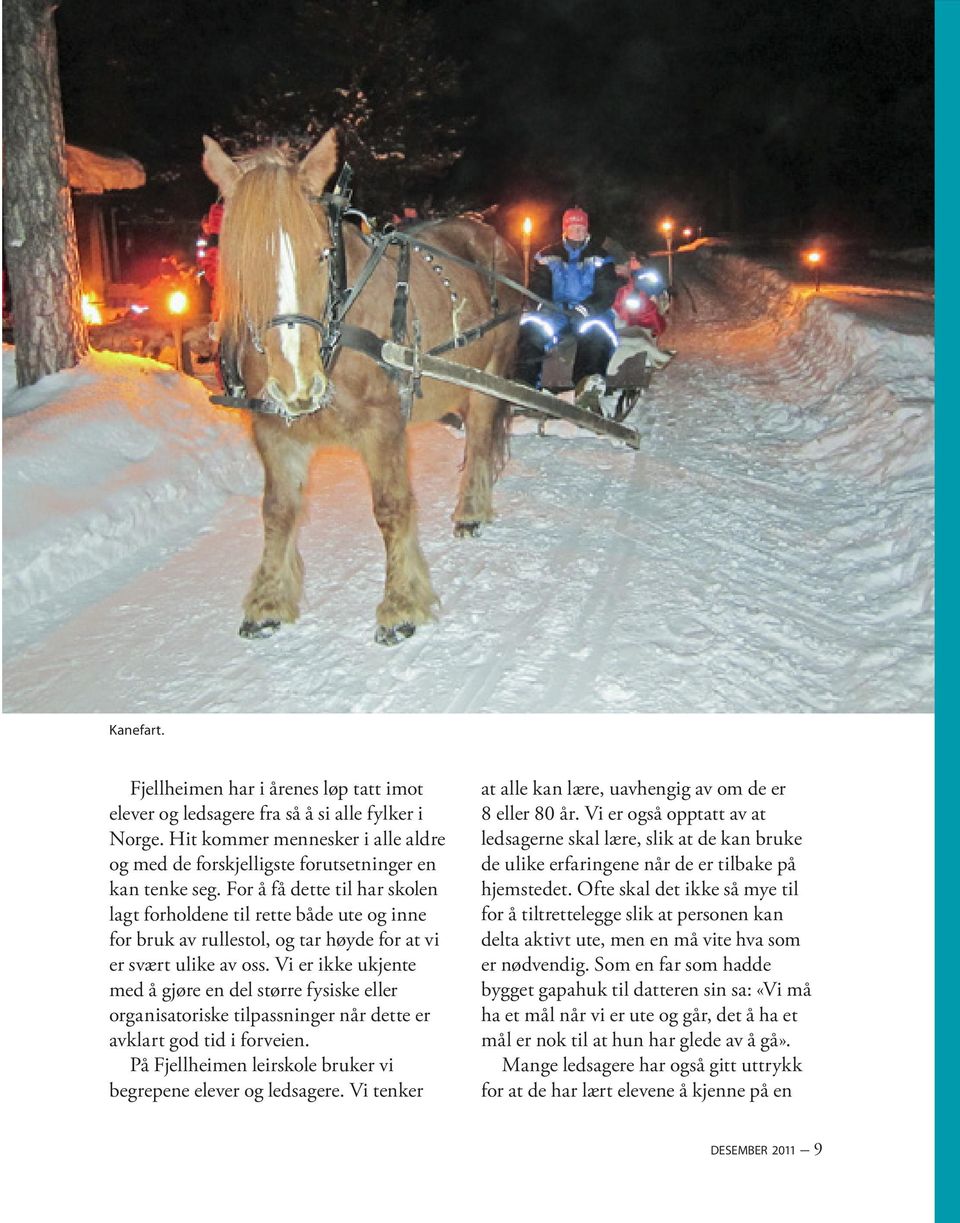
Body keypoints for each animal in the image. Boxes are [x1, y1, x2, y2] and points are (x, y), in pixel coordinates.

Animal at [198, 132, 520, 645]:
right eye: (239, 263)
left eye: (323, 253)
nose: (297, 384)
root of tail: (488, 234)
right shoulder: (274, 433)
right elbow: (277, 512)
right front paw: (267, 602)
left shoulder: (382, 426)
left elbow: (391, 508)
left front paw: (401, 605)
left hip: (491, 374)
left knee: (483, 439)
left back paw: (471, 510)